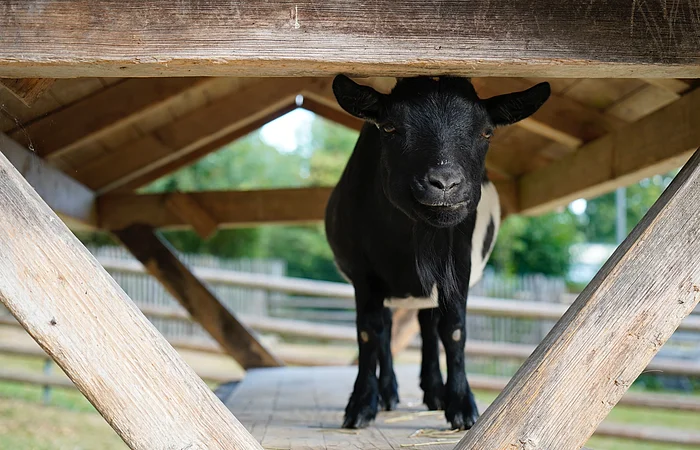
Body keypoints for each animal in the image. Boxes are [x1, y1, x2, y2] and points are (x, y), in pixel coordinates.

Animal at [325, 75, 550, 430]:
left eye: (487, 132)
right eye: (389, 127)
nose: (445, 183)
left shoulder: (458, 267)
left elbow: (453, 330)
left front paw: (461, 405)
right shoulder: (364, 275)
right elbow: (368, 332)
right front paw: (360, 405)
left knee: (429, 326)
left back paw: (433, 392)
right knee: (388, 326)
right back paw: (388, 393)